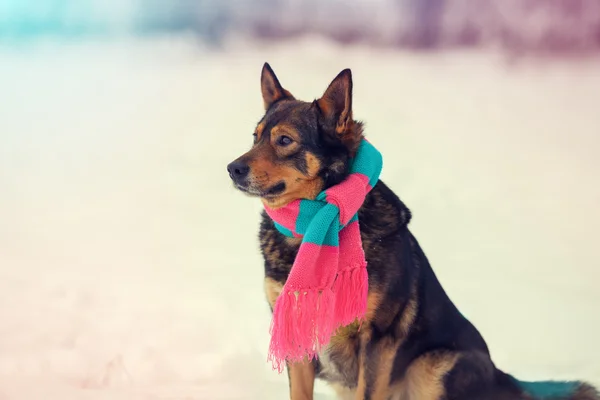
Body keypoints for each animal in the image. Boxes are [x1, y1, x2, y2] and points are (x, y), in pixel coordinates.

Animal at [226, 64, 600, 398]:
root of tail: (503, 379)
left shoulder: (377, 339)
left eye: (284, 140)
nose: (232, 168)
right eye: (255, 137)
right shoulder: (297, 334)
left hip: (432, 366)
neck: (310, 225)